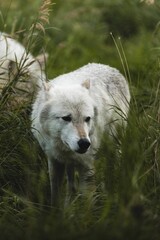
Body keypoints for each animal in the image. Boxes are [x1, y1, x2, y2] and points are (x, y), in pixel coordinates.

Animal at [31, 62, 131, 205]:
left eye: (87, 118)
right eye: (66, 118)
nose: (84, 143)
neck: (63, 148)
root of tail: (110, 67)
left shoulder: (86, 165)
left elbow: (87, 203)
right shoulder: (54, 160)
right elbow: (55, 195)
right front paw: (57, 210)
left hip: (114, 145)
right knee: (71, 184)